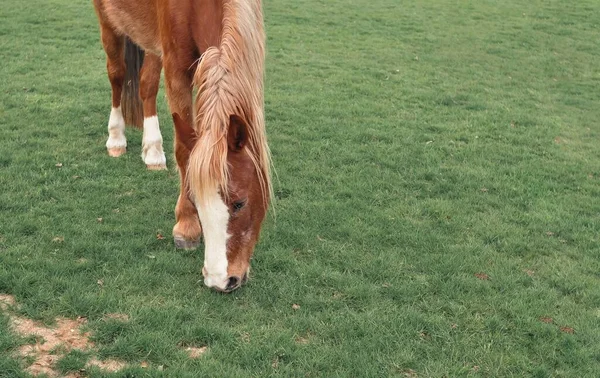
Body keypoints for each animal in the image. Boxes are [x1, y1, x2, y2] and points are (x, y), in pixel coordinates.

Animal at [91, 0, 272, 292]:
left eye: (240, 203)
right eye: (196, 199)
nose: (220, 280)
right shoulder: (177, 67)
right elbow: (184, 151)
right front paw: (186, 226)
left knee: (147, 83)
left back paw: (153, 152)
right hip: (108, 22)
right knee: (116, 74)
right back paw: (116, 139)